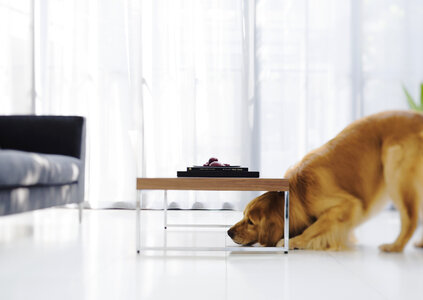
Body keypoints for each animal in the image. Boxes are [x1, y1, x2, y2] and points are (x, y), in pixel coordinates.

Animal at [229, 110, 423, 251]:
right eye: (243, 215)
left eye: (251, 222)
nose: (229, 232)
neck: (300, 192)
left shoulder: (348, 205)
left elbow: (314, 227)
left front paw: (294, 241)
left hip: (395, 170)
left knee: (410, 220)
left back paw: (395, 246)